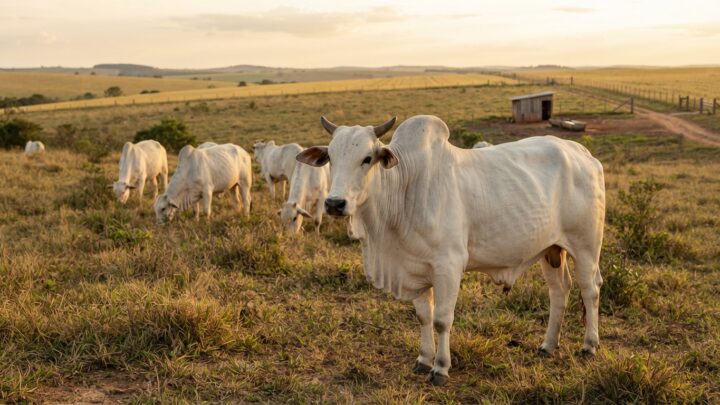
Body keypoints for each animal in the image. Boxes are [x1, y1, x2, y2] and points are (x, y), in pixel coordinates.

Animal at [296, 115, 605, 385]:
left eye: (367, 158)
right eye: (331, 158)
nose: (335, 203)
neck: (405, 190)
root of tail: (584, 154)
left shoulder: (449, 266)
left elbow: (442, 320)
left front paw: (441, 368)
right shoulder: (416, 268)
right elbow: (424, 316)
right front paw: (423, 360)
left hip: (586, 247)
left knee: (590, 289)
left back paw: (589, 345)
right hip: (551, 250)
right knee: (559, 291)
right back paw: (548, 344)